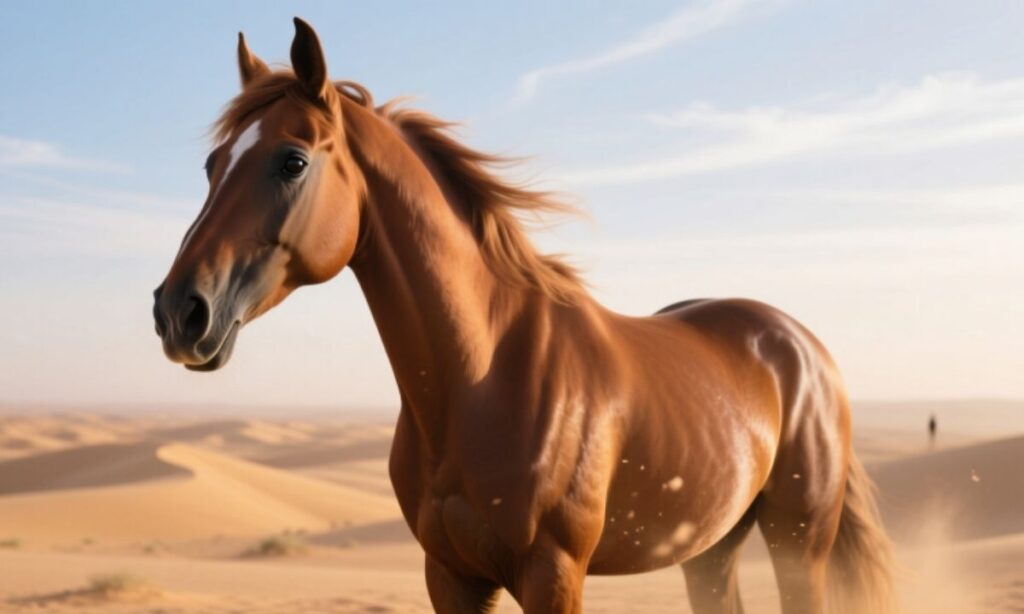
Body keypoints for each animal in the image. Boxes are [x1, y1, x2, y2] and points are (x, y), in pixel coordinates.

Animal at [152, 18, 896, 614]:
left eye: (292, 161)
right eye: (213, 163)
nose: (178, 312)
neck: (482, 380)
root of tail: (800, 345)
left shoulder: (553, 576)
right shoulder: (451, 576)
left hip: (799, 543)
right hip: (710, 548)